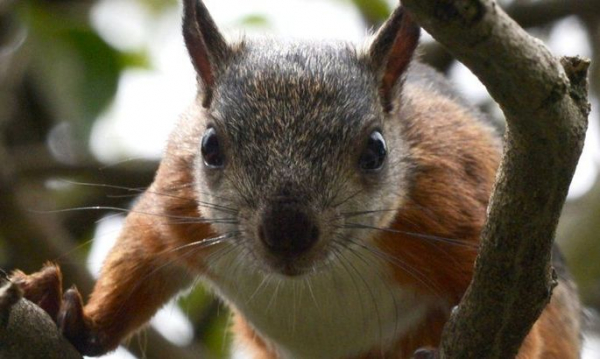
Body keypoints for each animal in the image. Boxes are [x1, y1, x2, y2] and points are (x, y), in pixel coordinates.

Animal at [10, 0, 580, 358]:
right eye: (209, 146)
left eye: (376, 150)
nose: (287, 232)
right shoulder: (177, 204)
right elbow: (140, 256)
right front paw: (76, 316)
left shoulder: (456, 207)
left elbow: (520, 318)